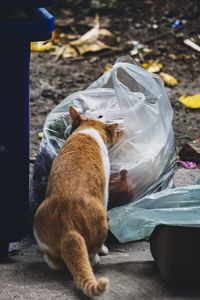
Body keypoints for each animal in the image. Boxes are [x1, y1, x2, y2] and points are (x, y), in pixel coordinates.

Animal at [33, 106, 119, 296]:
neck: (88, 130)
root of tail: (68, 228)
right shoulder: (105, 191)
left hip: (38, 221)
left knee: (55, 262)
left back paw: (45, 257)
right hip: (101, 220)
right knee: (91, 255)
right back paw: (99, 254)